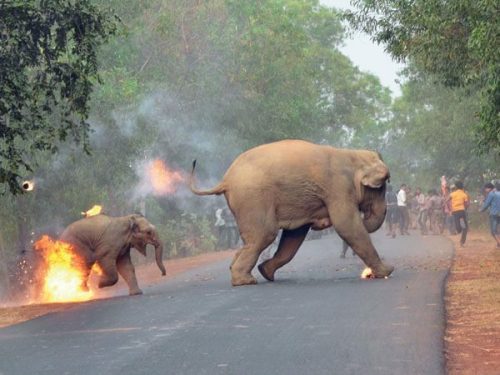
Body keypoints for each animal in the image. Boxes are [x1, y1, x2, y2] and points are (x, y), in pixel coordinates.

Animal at [189, 140, 392, 286]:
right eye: (382, 187)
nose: (365, 216)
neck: (352, 155)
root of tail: (226, 180)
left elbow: (294, 236)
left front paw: (266, 271)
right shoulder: (338, 188)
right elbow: (346, 225)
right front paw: (387, 271)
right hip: (253, 198)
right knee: (264, 235)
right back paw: (245, 281)